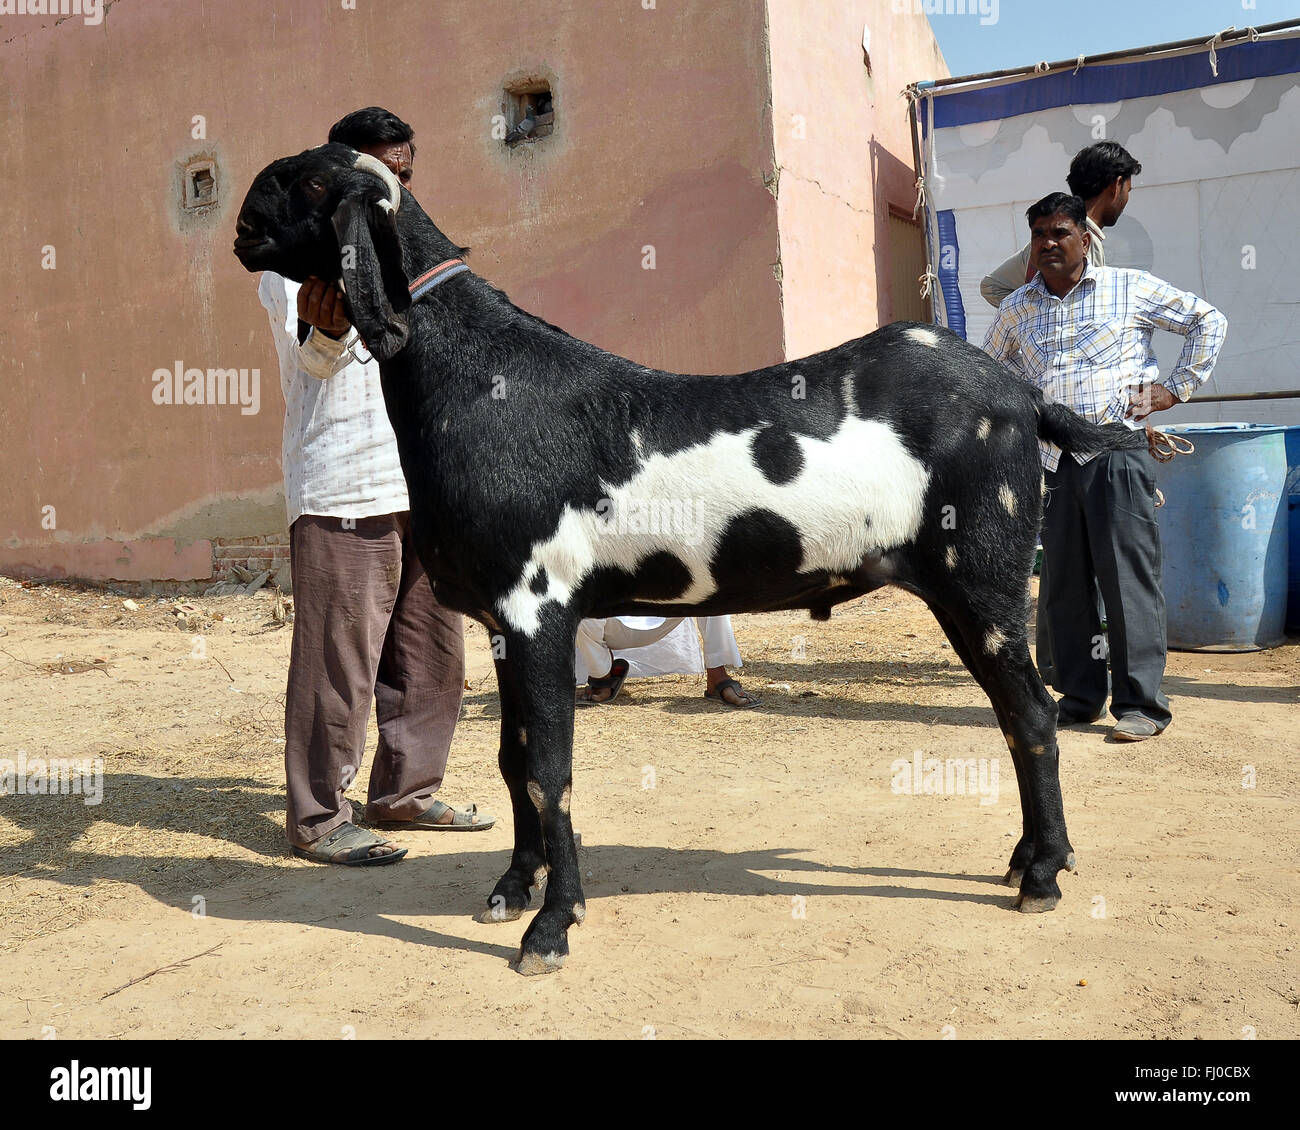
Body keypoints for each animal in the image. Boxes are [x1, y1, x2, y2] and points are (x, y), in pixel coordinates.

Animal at [234, 143, 1146, 975]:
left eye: (306, 179)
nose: (240, 226)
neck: (484, 379)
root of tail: (1025, 395)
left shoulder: (538, 607)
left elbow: (549, 769)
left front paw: (552, 927)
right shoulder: (502, 621)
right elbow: (512, 758)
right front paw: (513, 889)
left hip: (983, 581)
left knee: (1032, 714)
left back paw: (1044, 874)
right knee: (1016, 716)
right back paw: (1030, 858)